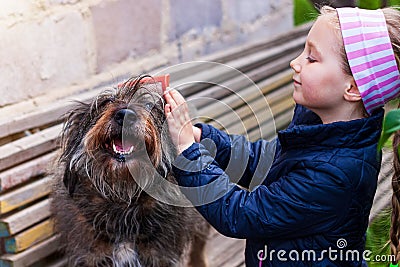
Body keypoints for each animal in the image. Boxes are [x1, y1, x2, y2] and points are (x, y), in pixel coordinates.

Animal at [50, 75, 209, 267]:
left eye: (149, 105)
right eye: (107, 102)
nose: (125, 115)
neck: (124, 195)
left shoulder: (161, 256)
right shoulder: (91, 256)